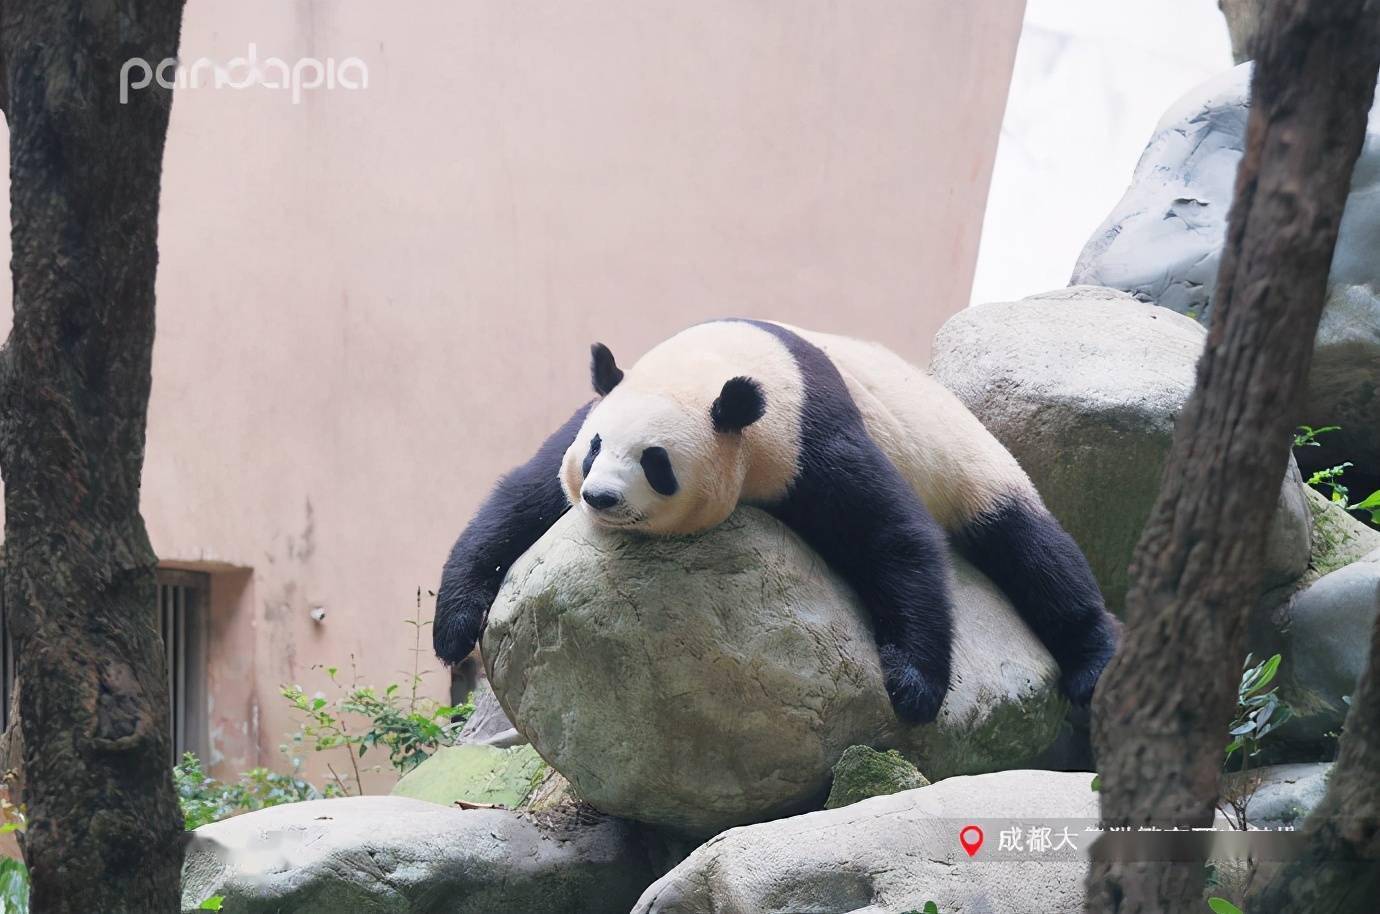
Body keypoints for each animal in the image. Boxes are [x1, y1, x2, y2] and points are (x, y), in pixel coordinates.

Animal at [436, 318, 1115, 728]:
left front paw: (913, 686)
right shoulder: (595, 411)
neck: (721, 363)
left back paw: (1093, 664)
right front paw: (452, 632)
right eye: (597, 449)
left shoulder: (808, 434)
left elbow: (891, 535)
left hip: (976, 468)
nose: (601, 497)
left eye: (656, 463)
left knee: (1035, 553)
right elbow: (520, 499)